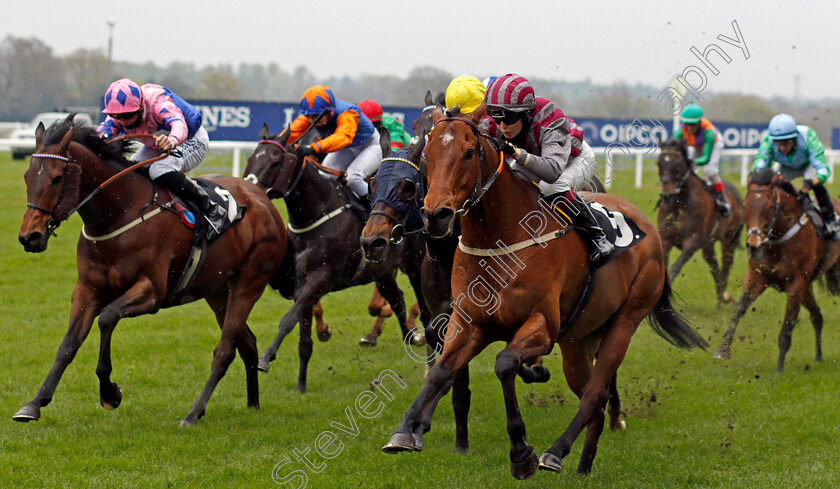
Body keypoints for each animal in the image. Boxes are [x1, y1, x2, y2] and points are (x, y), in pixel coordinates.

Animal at [13, 113, 286, 424]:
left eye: (57, 177)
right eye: (27, 176)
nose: (29, 237)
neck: (120, 213)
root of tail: (264, 201)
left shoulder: (152, 291)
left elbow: (107, 318)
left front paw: (110, 393)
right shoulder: (87, 289)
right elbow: (68, 344)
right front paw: (34, 403)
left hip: (249, 282)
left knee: (226, 350)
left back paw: (194, 412)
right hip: (217, 291)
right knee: (248, 343)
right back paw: (253, 405)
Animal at [243, 124, 426, 390]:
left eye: (275, 161)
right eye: (251, 158)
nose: (249, 191)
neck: (315, 215)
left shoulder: (321, 277)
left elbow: (288, 319)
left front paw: (266, 357)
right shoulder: (302, 283)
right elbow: (303, 335)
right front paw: (301, 386)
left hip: (415, 263)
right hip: (381, 272)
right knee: (397, 299)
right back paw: (409, 338)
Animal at [384, 106, 704, 476]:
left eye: (468, 152)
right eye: (427, 155)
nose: (436, 215)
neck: (501, 238)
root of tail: (648, 227)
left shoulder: (542, 327)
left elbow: (505, 363)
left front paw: (521, 452)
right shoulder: (468, 324)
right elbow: (441, 372)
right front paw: (406, 429)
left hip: (625, 321)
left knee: (595, 394)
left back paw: (554, 452)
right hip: (579, 340)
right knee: (592, 399)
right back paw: (582, 467)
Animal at [660, 137, 744, 304]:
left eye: (677, 163)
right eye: (659, 162)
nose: (667, 194)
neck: (680, 204)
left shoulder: (693, 241)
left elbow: (675, 267)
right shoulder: (665, 239)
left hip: (728, 241)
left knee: (725, 268)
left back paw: (721, 302)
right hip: (708, 245)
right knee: (715, 268)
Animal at [712, 169, 840, 370]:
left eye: (770, 207)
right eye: (745, 205)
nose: (754, 246)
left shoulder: (797, 283)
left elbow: (787, 324)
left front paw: (779, 369)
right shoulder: (757, 276)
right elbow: (739, 309)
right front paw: (722, 350)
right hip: (808, 287)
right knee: (817, 315)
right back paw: (818, 356)